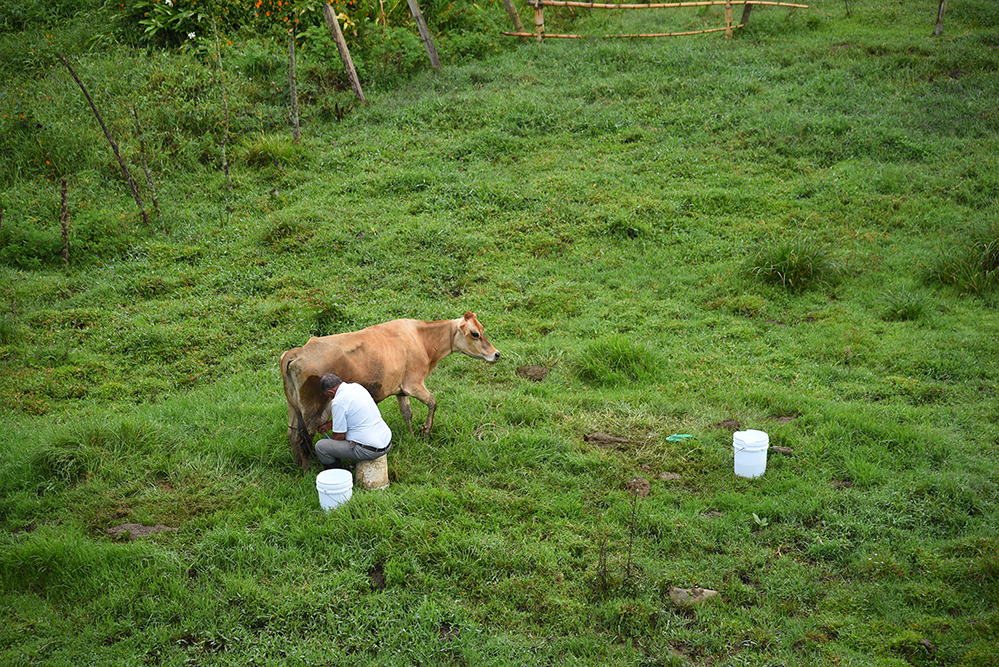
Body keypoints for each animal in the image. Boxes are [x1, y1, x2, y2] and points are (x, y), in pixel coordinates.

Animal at [280, 316, 500, 472]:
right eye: (475, 334)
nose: (496, 354)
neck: (421, 340)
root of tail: (297, 352)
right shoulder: (414, 383)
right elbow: (433, 402)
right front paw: (426, 431)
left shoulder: (401, 389)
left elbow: (407, 413)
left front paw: (412, 436)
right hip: (313, 409)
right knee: (303, 438)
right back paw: (308, 470)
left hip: (293, 407)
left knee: (292, 433)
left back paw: (298, 465)